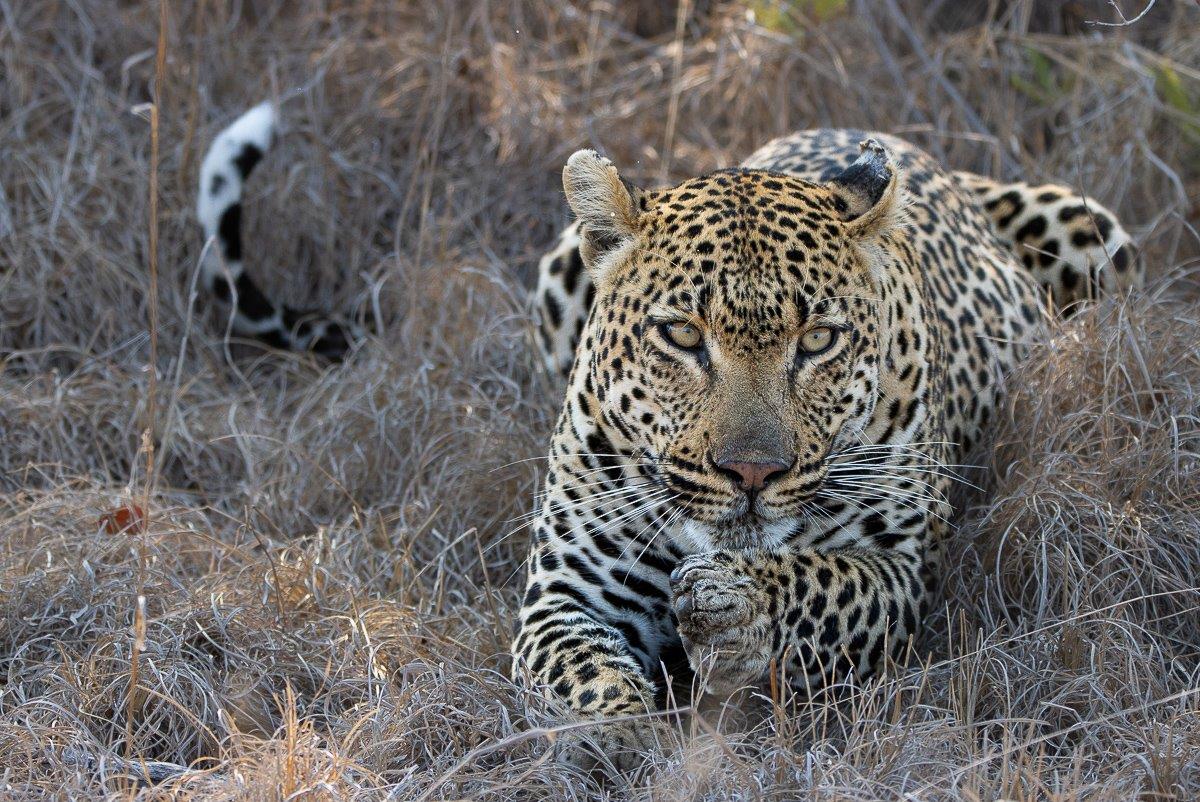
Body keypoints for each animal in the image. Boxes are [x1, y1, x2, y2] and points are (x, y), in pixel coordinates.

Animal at [513, 129, 1138, 770]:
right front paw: (626, 742)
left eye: (817, 341)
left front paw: (737, 605)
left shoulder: (905, 568)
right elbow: (581, 678)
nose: (751, 471)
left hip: (1095, 232)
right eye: (682, 334)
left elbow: (822, 581)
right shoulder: (566, 594)